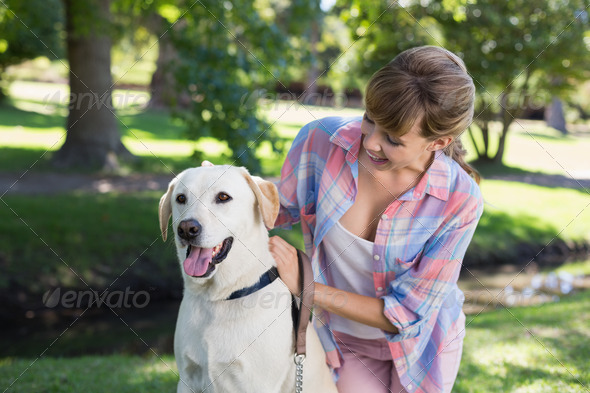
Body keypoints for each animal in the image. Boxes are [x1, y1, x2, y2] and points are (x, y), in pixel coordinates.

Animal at [160, 165, 338, 392]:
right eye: (181, 198)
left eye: (223, 197)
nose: (186, 229)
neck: (220, 297)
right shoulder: (187, 378)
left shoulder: (255, 384)